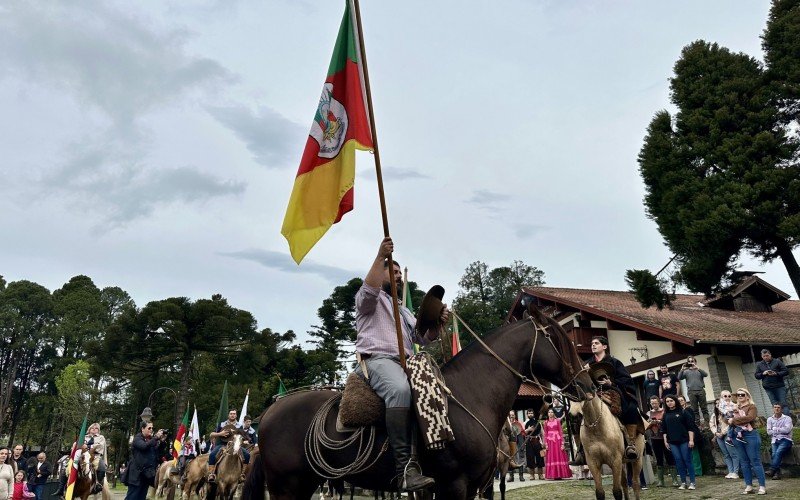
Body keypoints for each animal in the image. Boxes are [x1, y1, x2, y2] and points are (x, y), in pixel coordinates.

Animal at [244, 302, 592, 498]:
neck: (469, 398)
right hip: (286, 486)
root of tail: (269, 412)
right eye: (558, 339)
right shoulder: (454, 485)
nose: (586, 385)